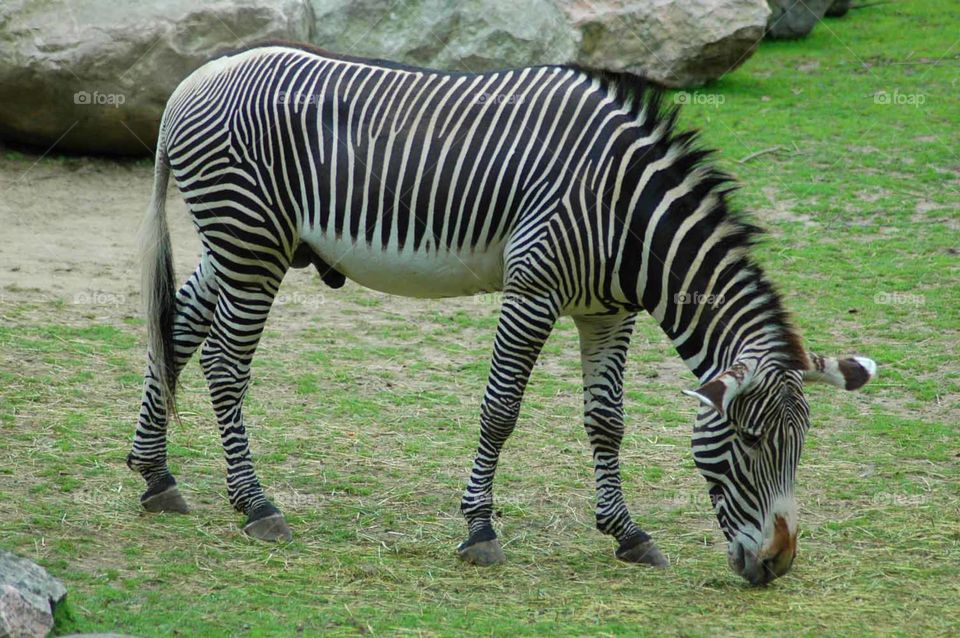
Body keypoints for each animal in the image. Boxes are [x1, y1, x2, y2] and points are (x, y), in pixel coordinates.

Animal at [127, 43, 876, 585]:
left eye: (801, 445)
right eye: (750, 442)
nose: (777, 565)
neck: (627, 212)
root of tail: (196, 79)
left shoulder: (608, 312)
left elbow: (607, 423)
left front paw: (627, 533)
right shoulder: (532, 290)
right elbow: (501, 410)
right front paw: (480, 528)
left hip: (242, 244)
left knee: (176, 329)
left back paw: (156, 476)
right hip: (250, 241)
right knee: (225, 364)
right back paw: (256, 505)